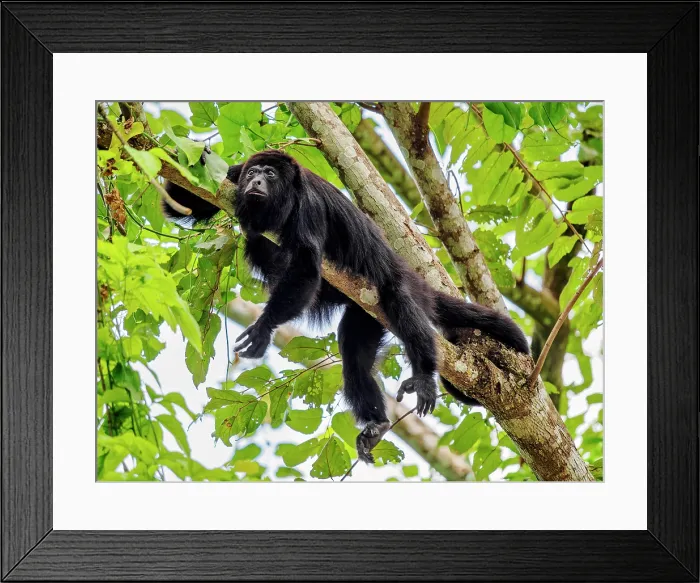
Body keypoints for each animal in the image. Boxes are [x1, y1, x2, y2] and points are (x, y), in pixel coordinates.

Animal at [162, 150, 529, 463]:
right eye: (252, 173)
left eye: (269, 174)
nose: (255, 182)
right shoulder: (232, 181)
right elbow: (188, 204)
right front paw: (194, 154)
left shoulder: (307, 206)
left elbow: (306, 267)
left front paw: (264, 327)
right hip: (363, 313)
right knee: (353, 356)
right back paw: (377, 423)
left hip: (391, 286)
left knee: (401, 306)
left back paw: (424, 376)